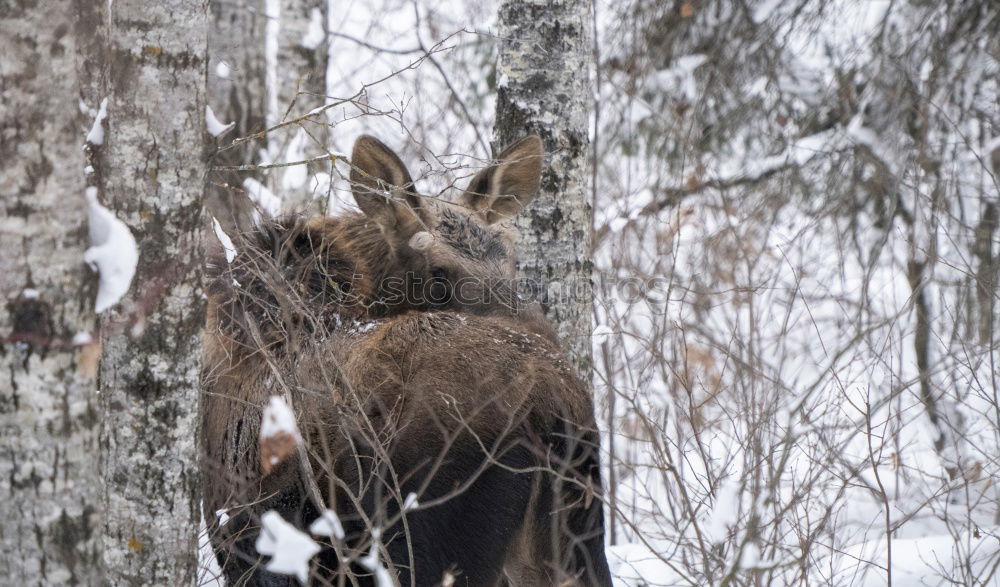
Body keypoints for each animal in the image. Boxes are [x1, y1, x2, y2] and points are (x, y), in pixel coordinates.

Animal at [201, 136, 608, 584]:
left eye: (511, 262)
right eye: (438, 274)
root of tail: (552, 408)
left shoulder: (244, 535)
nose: (544, 333)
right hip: (575, 540)